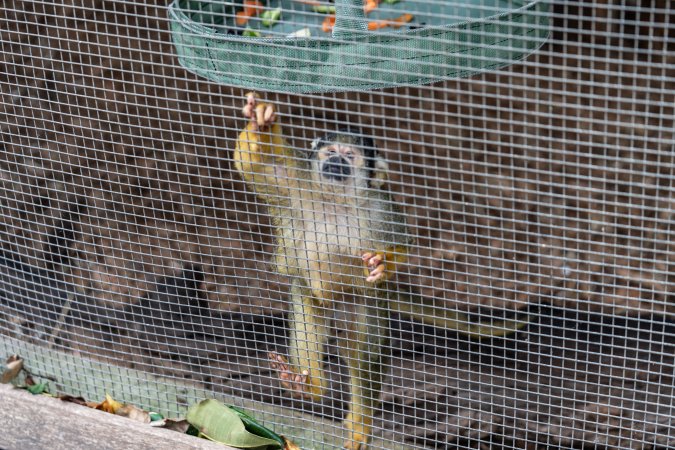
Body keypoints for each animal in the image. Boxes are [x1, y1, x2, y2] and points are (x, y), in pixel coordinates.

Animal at [233, 93, 524, 449]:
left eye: (350, 156)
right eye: (331, 152)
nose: (336, 163)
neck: (336, 199)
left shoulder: (379, 206)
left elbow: (406, 243)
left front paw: (385, 263)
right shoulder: (298, 183)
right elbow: (255, 167)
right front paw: (260, 121)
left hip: (367, 300)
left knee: (364, 350)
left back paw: (361, 419)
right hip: (307, 290)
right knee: (309, 318)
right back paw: (309, 386)